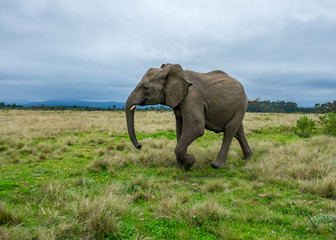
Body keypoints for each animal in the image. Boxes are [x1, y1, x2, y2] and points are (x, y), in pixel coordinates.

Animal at [126, 63, 258, 169]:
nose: (140, 146)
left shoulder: (192, 98)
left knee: (230, 130)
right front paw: (179, 166)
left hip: (241, 104)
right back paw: (249, 159)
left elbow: (196, 127)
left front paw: (190, 161)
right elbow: (180, 129)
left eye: (145, 87)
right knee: (238, 131)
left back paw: (216, 165)